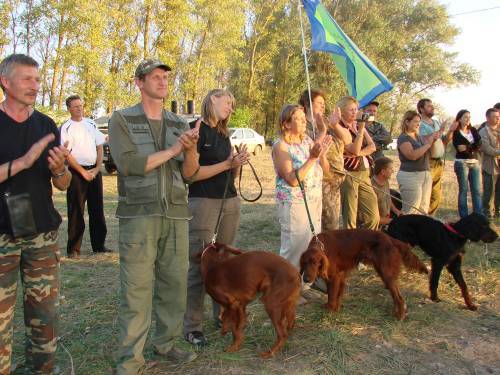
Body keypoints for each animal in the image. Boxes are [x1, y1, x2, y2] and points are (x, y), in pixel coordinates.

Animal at [298, 229, 428, 320]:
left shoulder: (334, 277)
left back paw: (400, 316)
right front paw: (336, 309)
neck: (321, 245)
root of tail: (390, 239)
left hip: (386, 272)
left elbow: (332, 295)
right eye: (304, 263)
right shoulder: (341, 276)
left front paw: (330, 311)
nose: (306, 279)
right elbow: (337, 295)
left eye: (315, 263)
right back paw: (397, 312)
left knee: (399, 297)